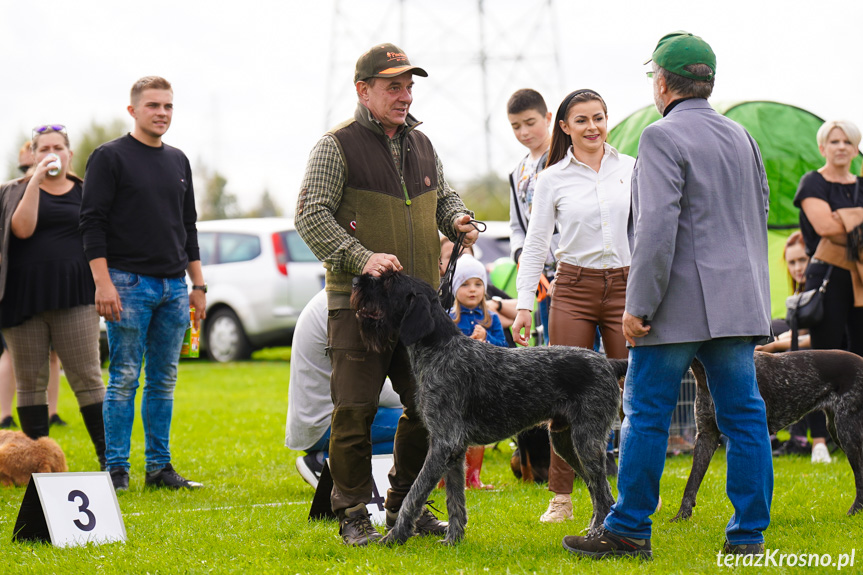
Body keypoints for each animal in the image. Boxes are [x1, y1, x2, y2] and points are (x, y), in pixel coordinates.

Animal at [352, 272, 628, 548]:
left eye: (389, 282)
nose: (357, 280)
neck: (440, 349)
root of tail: (608, 362)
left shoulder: (444, 444)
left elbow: (414, 494)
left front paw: (394, 536)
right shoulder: (454, 451)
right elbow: (455, 500)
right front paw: (453, 540)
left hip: (586, 442)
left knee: (603, 492)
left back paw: (598, 537)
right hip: (565, 443)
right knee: (596, 489)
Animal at [676, 352, 863, 520]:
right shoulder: (706, 436)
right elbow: (692, 481)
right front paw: (682, 515)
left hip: (847, 432)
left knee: (859, 475)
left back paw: (855, 511)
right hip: (836, 429)